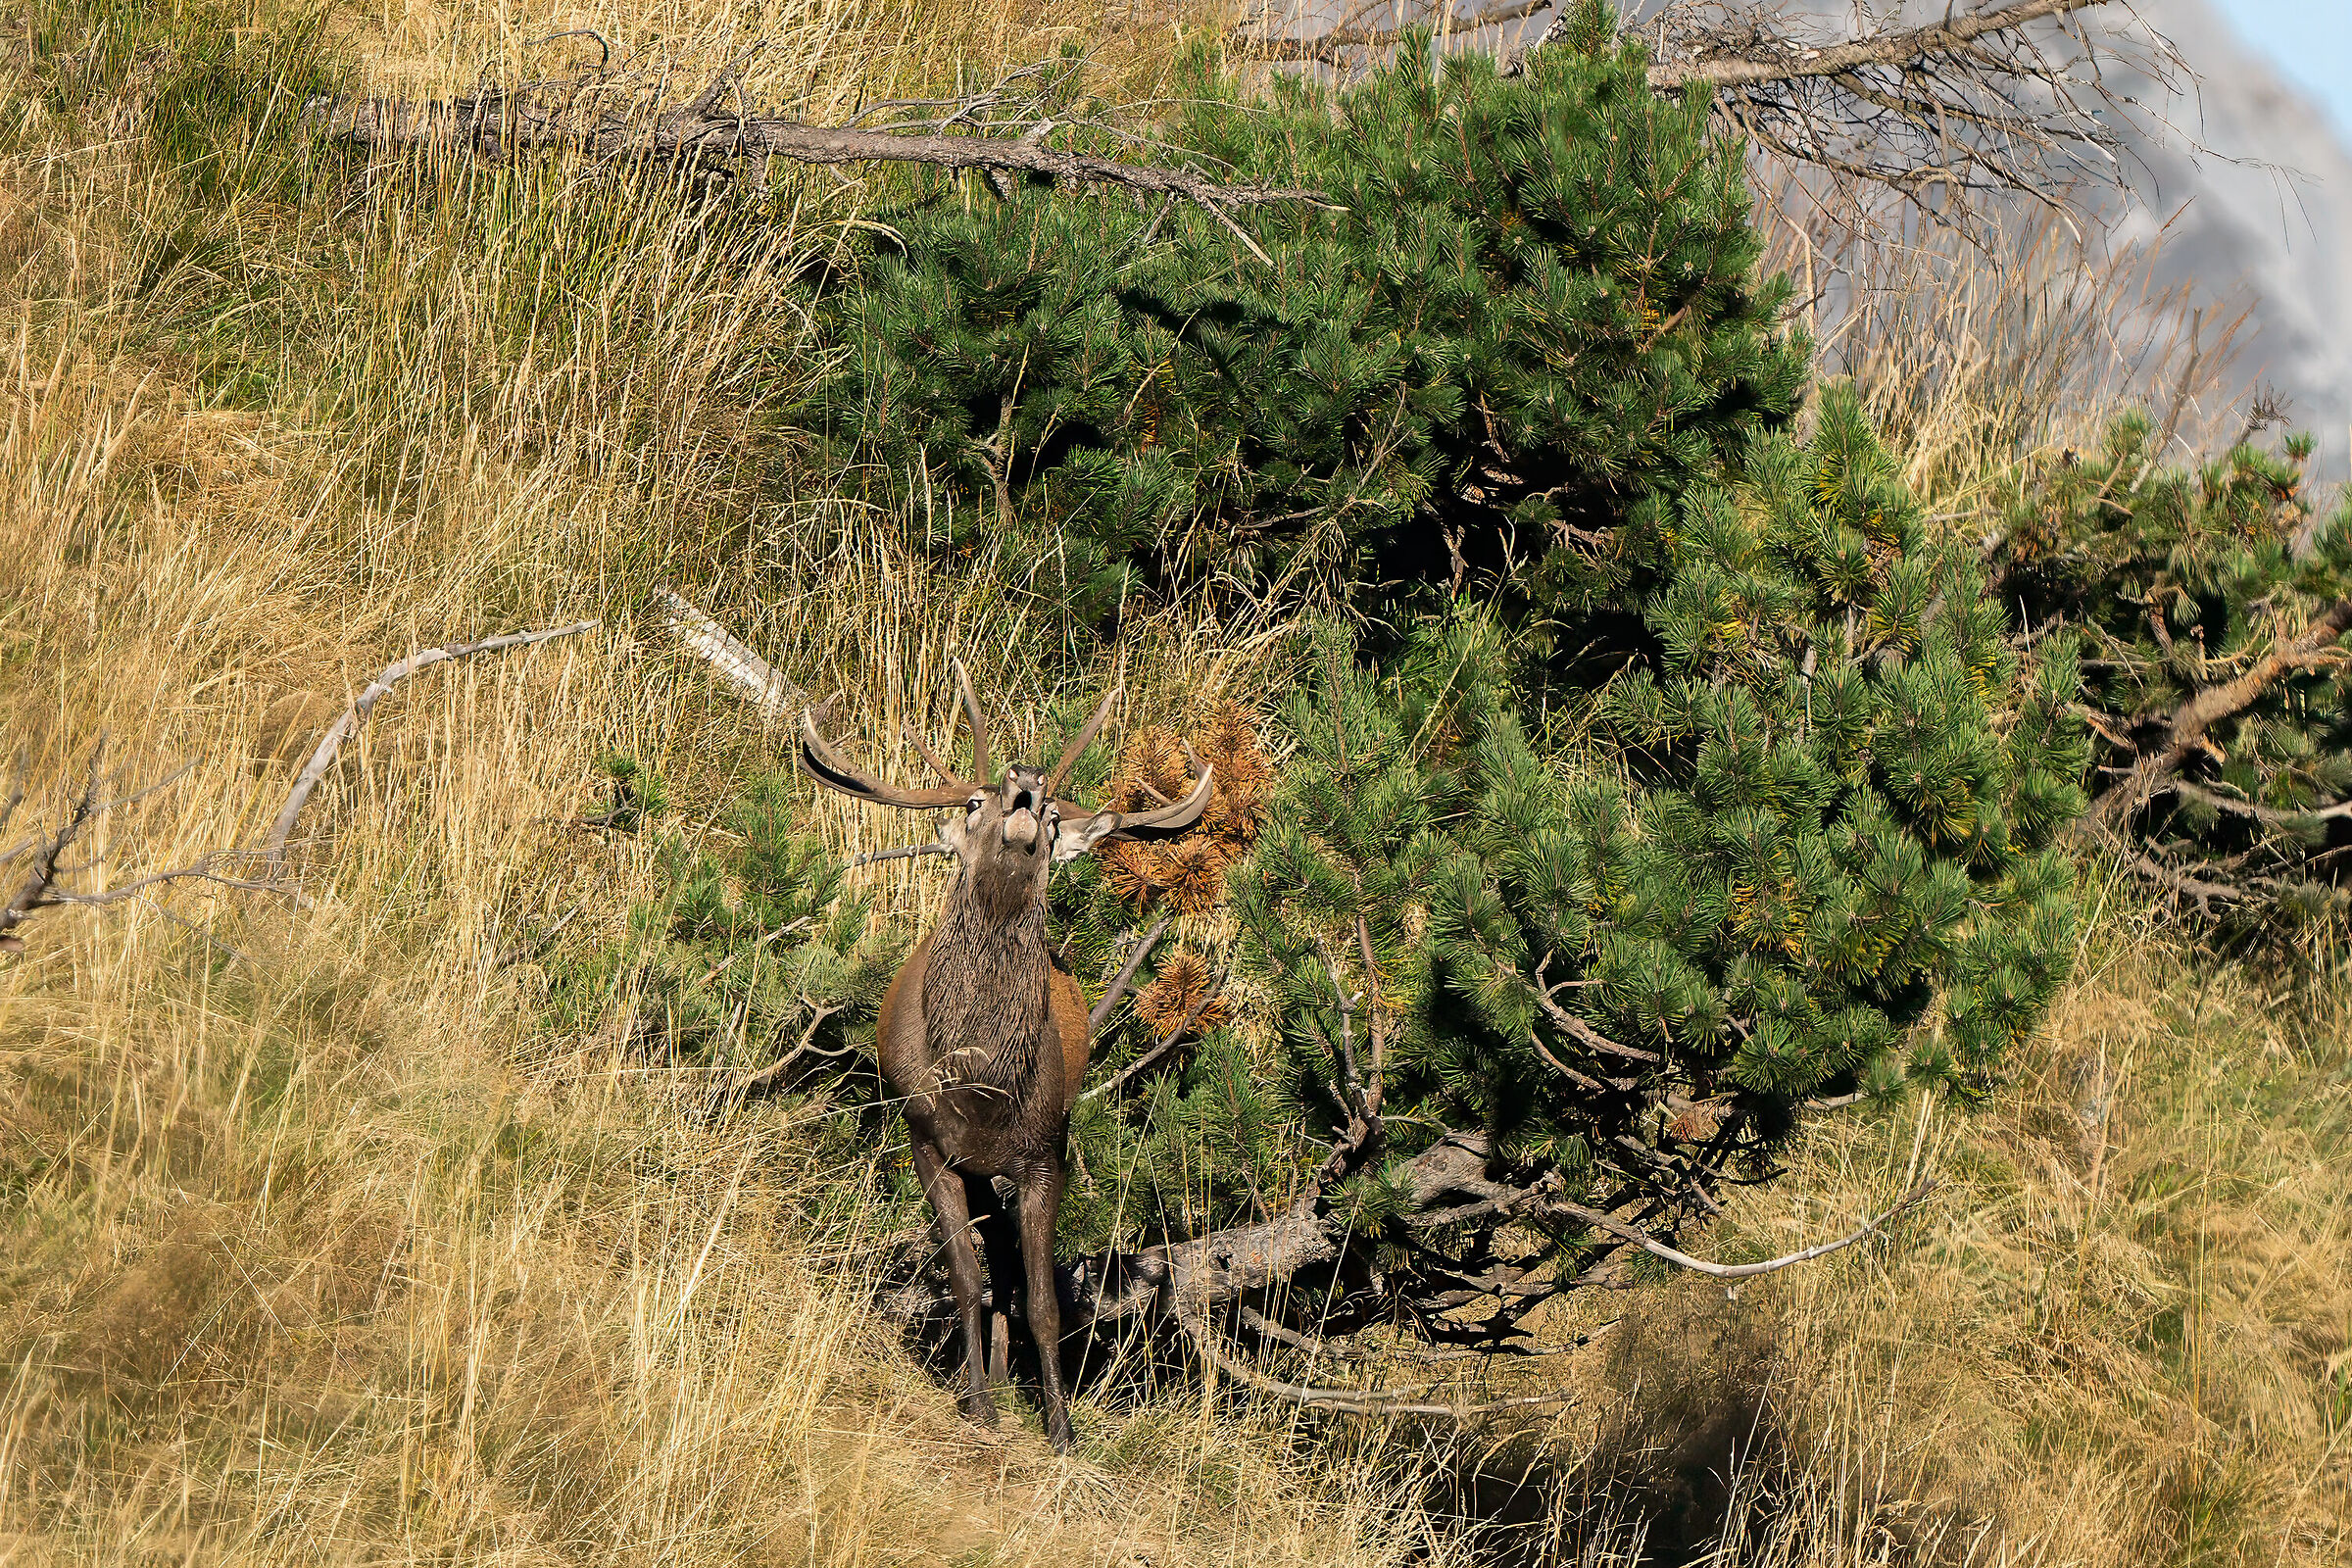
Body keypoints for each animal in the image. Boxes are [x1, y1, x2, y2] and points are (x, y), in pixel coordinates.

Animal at [800, 663, 1211, 1453]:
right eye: (973, 802)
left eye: (1051, 815)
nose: (1026, 780)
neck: (983, 1086)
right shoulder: (926, 1136)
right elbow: (965, 1276)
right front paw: (978, 1404)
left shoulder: (1046, 1150)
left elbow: (1045, 1299)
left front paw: (1060, 1426)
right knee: (987, 1263)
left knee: (1011, 1268)